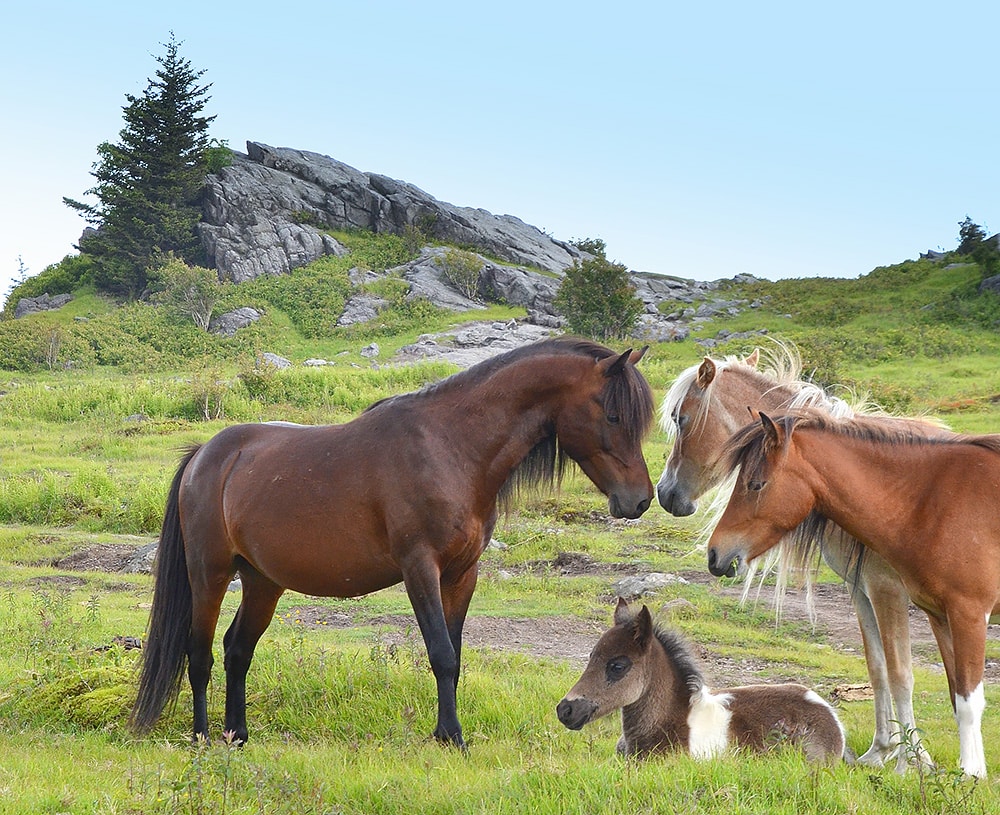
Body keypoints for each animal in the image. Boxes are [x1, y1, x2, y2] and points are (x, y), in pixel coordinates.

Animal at [130, 337, 656, 748]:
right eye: (612, 415)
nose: (640, 500)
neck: (450, 448)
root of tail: (206, 454)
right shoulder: (419, 568)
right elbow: (441, 654)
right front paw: (452, 737)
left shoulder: (462, 575)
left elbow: (454, 656)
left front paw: (444, 733)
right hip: (210, 575)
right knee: (200, 655)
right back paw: (202, 737)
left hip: (263, 582)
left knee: (237, 650)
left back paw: (236, 736)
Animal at [655, 344, 942, 770]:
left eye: (681, 418)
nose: (665, 494)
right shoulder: (863, 590)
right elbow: (877, 668)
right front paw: (880, 751)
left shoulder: (887, 589)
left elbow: (900, 672)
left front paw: (912, 761)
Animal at [706, 409, 1000, 778]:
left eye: (756, 484)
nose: (714, 555)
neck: (932, 500)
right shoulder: (941, 617)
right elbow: (954, 694)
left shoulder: (968, 614)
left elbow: (968, 701)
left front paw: (971, 773)